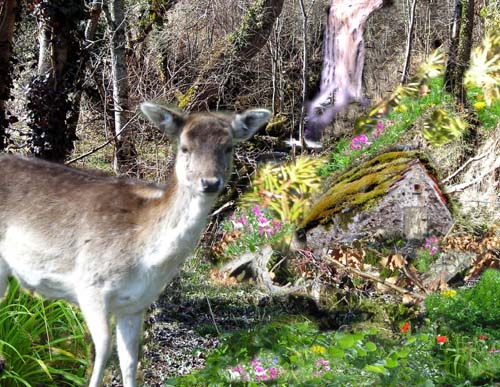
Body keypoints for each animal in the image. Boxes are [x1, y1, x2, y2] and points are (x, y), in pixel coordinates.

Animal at [0, 103, 270, 387]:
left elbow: (130, 361)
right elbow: (103, 351)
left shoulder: (135, 304)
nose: (209, 182)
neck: (146, 259)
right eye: (185, 147)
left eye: (228, 147)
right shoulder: (89, 285)